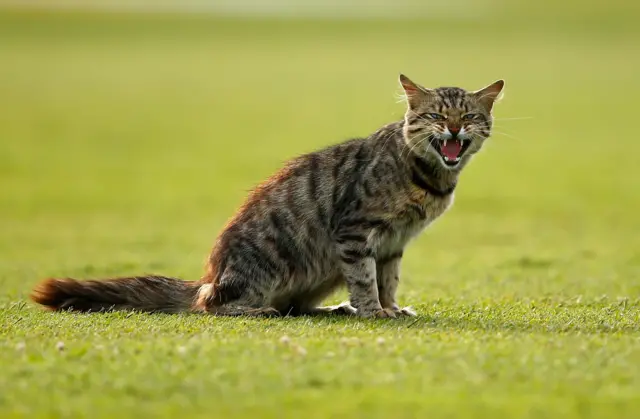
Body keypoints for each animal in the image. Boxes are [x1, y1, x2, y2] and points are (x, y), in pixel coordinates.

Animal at [31, 74, 504, 318]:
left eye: (468, 116)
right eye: (437, 116)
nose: (455, 130)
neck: (428, 176)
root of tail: (209, 276)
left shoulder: (393, 242)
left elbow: (387, 281)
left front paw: (389, 308)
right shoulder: (355, 233)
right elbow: (366, 281)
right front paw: (373, 312)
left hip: (321, 273)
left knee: (298, 306)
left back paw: (333, 310)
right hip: (276, 263)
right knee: (213, 305)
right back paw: (261, 310)